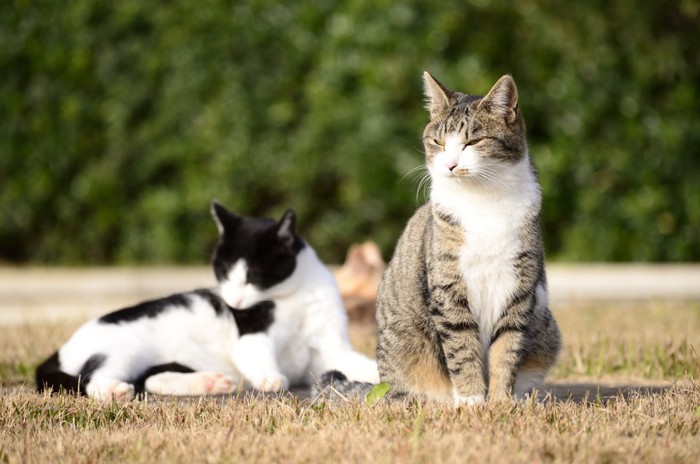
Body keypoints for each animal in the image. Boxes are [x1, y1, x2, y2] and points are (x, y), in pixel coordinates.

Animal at [35, 201, 380, 400]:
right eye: (223, 270)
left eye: (253, 274)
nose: (235, 302)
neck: (297, 293)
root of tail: (60, 350)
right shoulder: (251, 338)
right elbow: (257, 356)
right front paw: (269, 378)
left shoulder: (331, 350)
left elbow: (360, 363)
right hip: (120, 351)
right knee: (91, 380)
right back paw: (114, 391)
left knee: (151, 379)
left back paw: (210, 384)